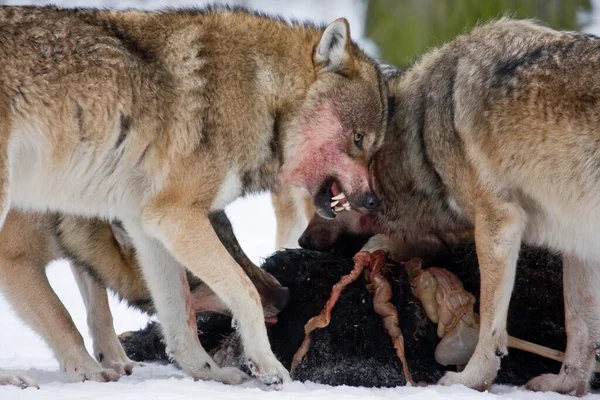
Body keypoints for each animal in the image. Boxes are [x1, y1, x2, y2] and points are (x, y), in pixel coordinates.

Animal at [0, 4, 386, 388]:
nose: (372, 201)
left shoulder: (148, 224)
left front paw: (209, 374)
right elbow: (244, 291)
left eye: (373, 144)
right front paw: (268, 367)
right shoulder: (176, 216)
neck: (261, 98)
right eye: (357, 138)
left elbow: (180, 318)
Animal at [300, 20, 600, 396]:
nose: (302, 242)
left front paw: (472, 380)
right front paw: (566, 385)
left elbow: (490, 325)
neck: (420, 131)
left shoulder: (498, 224)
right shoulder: (580, 243)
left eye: (332, 195)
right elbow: (580, 328)